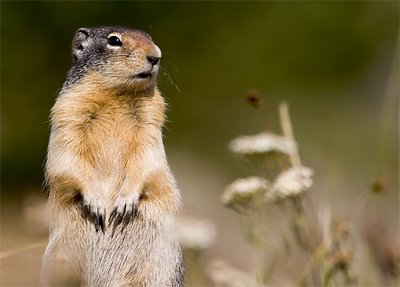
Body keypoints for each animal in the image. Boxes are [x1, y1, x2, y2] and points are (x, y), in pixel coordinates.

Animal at [39, 27, 184, 287]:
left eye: (150, 37)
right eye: (114, 40)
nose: (156, 56)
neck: (118, 95)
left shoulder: (150, 124)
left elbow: (146, 160)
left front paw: (124, 202)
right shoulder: (67, 114)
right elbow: (69, 159)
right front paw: (97, 203)